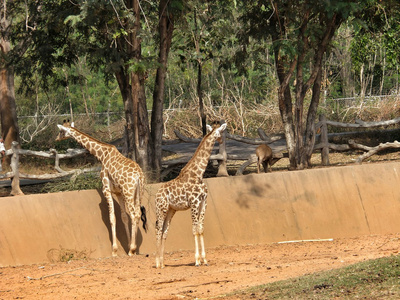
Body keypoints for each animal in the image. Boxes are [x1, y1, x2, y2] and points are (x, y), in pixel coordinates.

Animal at [55, 120, 147, 256]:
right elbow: (123, 217)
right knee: (137, 214)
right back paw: (133, 249)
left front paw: (115, 250)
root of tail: (139, 176)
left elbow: (112, 218)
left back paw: (132, 250)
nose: (56, 138)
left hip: (128, 192)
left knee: (134, 215)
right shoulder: (118, 192)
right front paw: (127, 245)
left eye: (61, 131)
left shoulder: (106, 189)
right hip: (138, 193)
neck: (102, 155)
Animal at [154, 120, 227, 268]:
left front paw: (204, 259)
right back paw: (157, 263)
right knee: (158, 230)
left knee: (164, 231)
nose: (221, 140)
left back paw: (163, 263)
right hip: (161, 209)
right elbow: (194, 229)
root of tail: (156, 195)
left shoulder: (204, 203)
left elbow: (201, 229)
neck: (198, 174)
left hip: (171, 210)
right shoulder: (194, 203)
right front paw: (197, 260)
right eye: (220, 131)